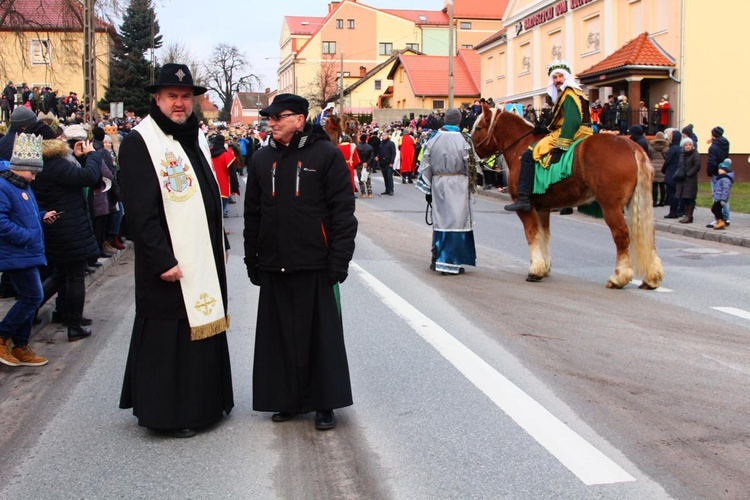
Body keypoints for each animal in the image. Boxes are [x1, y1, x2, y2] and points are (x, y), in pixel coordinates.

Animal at [472, 101, 668, 290]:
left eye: (479, 127)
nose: (473, 152)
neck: (521, 147)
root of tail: (631, 146)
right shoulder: (543, 208)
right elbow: (544, 234)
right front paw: (544, 267)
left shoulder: (525, 208)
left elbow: (532, 234)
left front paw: (535, 269)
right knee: (649, 235)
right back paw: (652, 278)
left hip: (611, 206)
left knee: (621, 235)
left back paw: (619, 277)